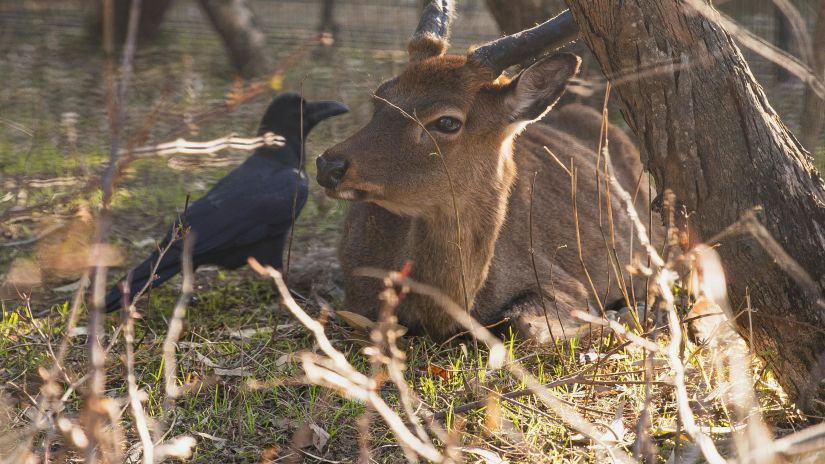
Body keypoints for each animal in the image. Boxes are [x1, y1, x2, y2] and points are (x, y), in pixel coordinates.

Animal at [312, 1, 660, 342]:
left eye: (447, 121)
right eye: (380, 96)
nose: (329, 166)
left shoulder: (566, 285)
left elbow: (526, 326)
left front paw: (621, 316)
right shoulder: (356, 299)